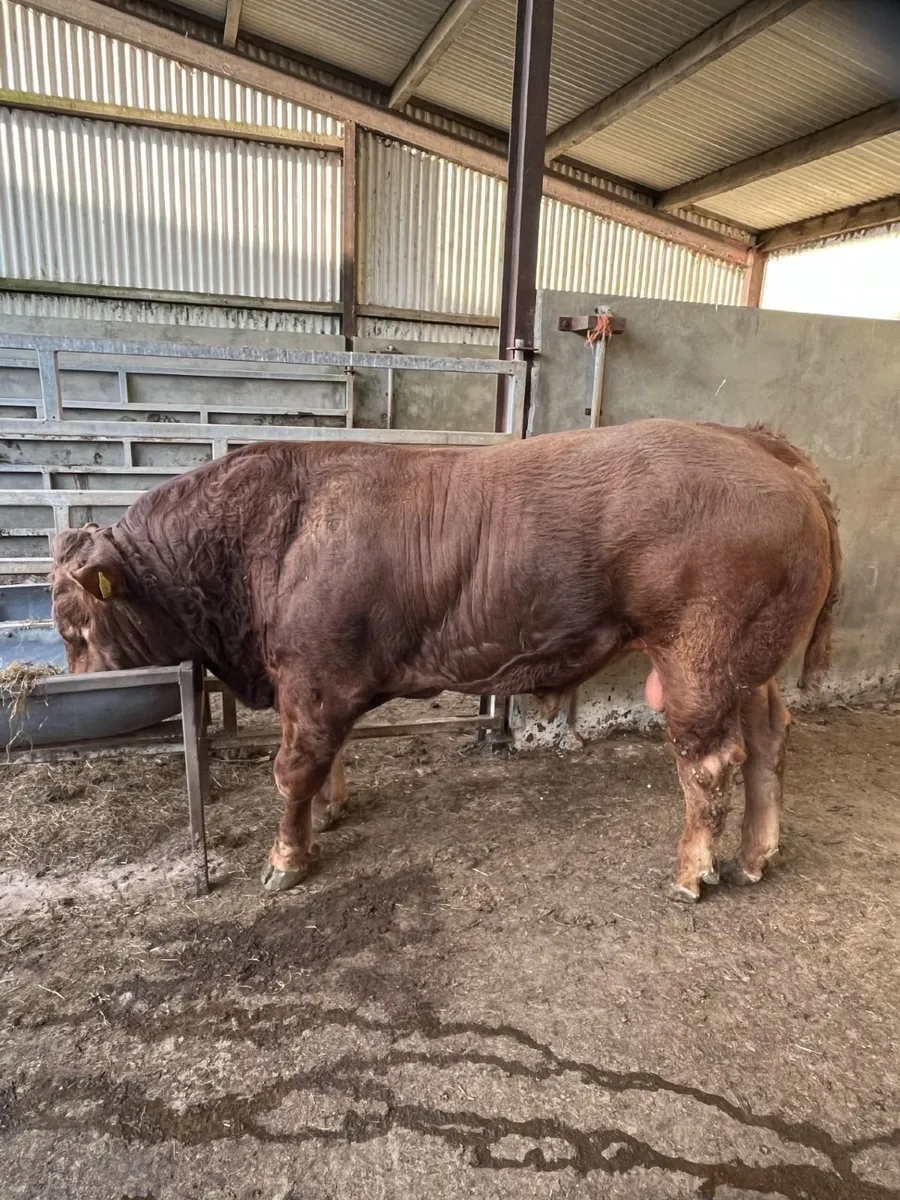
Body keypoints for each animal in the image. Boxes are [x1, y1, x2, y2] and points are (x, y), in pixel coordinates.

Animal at [50, 419, 841, 902]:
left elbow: (294, 770)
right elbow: (326, 760)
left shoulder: (314, 680)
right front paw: (331, 813)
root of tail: (758, 445)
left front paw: (286, 860)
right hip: (751, 663)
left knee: (708, 762)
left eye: (75, 628)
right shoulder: (315, 685)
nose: (77, 695)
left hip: (698, 659)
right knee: (769, 738)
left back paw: (693, 870)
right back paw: (756, 854)